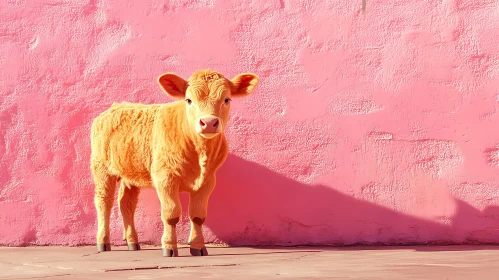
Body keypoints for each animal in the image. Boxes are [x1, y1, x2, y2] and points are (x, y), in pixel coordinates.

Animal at [90, 69, 260, 256]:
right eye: (189, 100)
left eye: (227, 99)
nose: (208, 123)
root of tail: (115, 107)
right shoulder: (165, 177)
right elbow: (171, 214)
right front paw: (169, 247)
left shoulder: (208, 181)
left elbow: (198, 216)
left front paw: (198, 247)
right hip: (101, 168)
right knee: (104, 202)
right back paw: (103, 242)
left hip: (131, 172)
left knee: (126, 203)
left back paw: (133, 242)